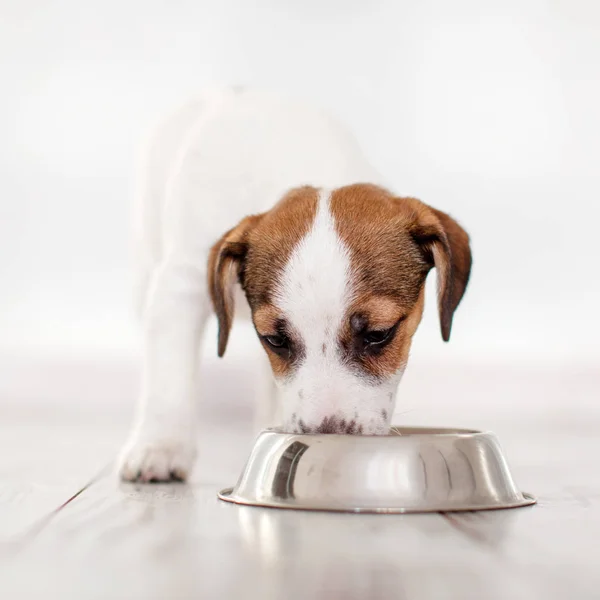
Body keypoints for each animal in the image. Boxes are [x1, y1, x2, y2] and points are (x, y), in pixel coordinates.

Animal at [118, 86, 474, 482]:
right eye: (275, 340)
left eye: (379, 334)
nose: (329, 438)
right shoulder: (182, 284)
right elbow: (169, 375)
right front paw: (160, 446)